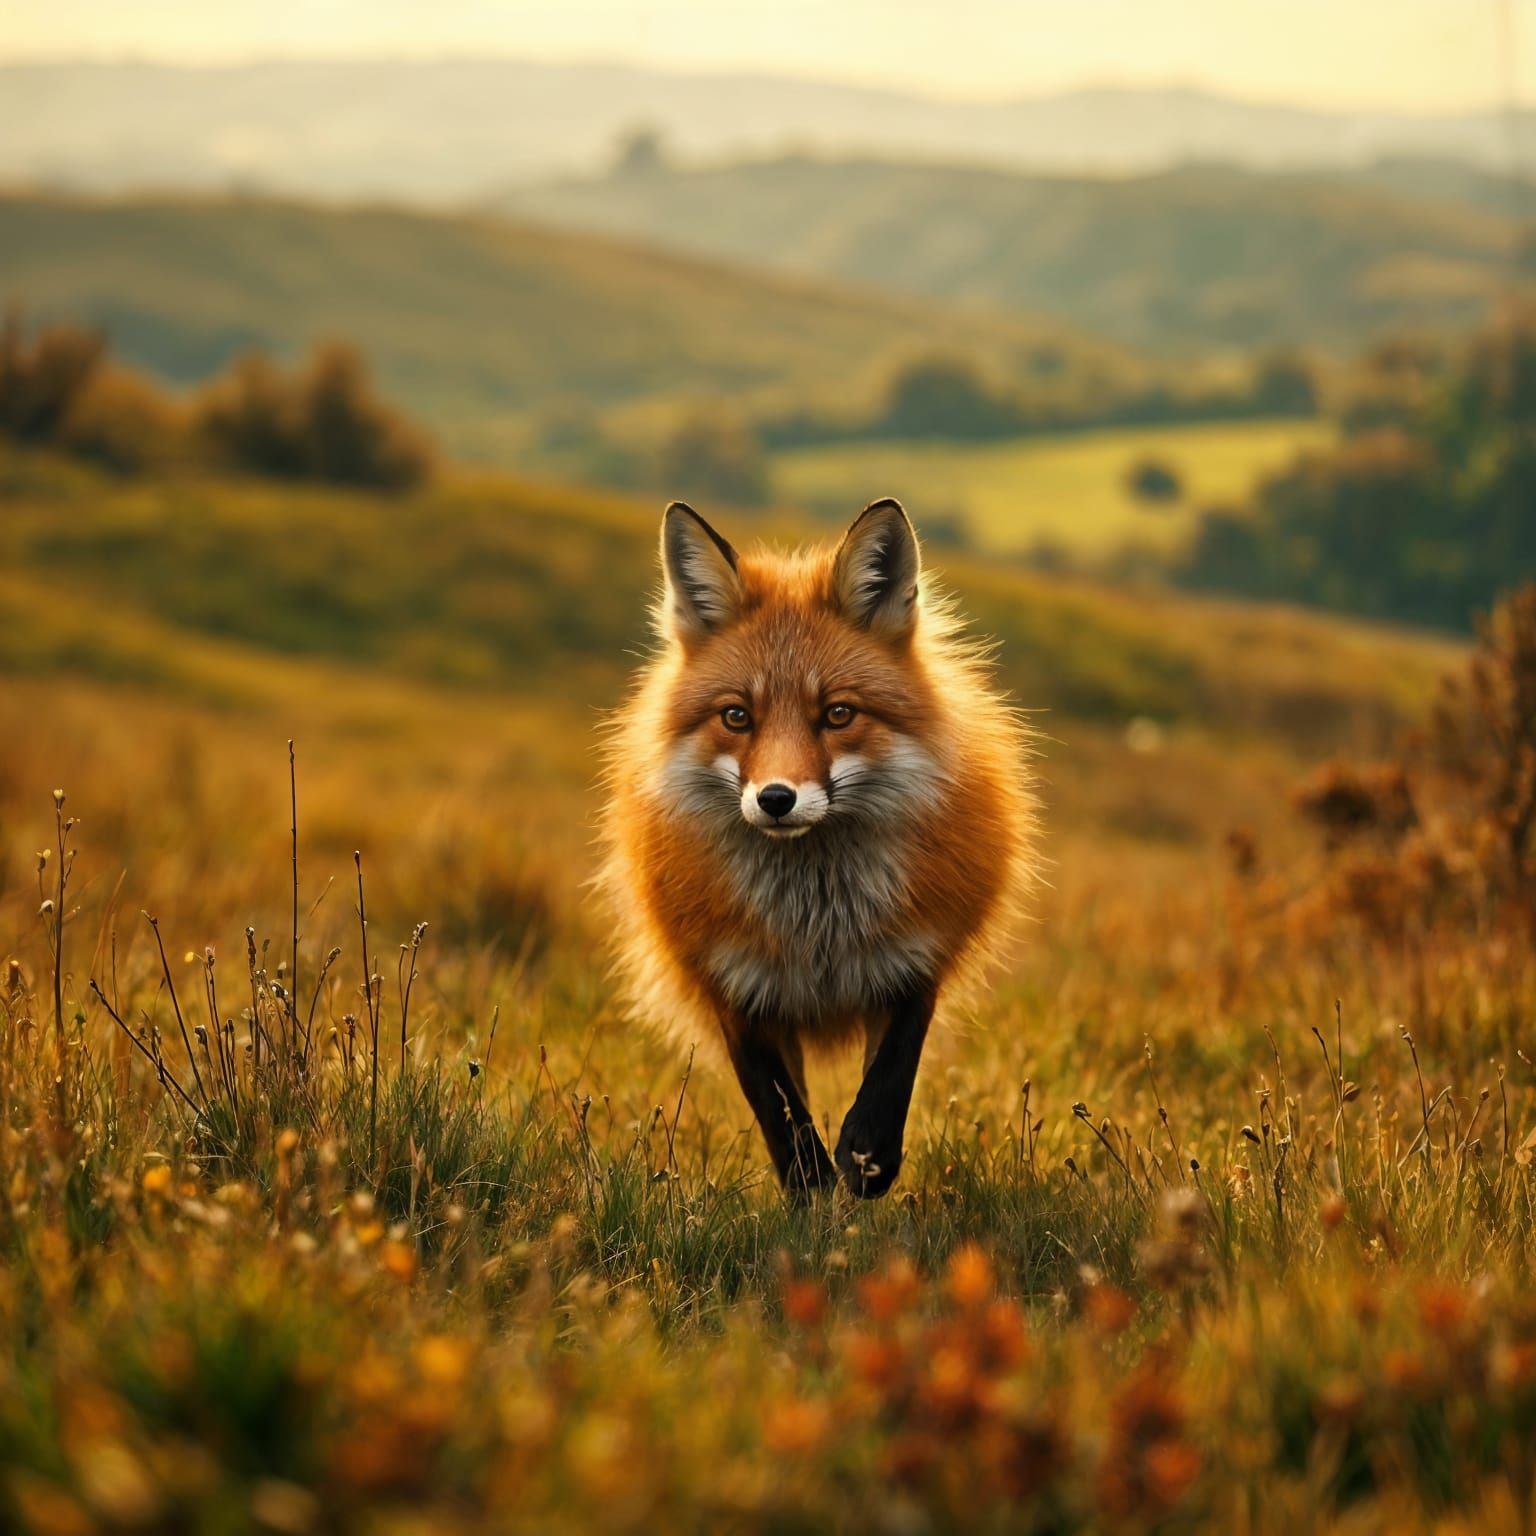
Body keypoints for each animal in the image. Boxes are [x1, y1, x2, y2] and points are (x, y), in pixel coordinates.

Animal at [599, 497, 1035, 1199]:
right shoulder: (734, 989)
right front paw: (812, 1196)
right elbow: (784, 1120)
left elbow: (890, 1078)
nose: (776, 799)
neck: (816, 924)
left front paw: (867, 1159)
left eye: (837, 714)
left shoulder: (915, 961)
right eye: (737, 717)